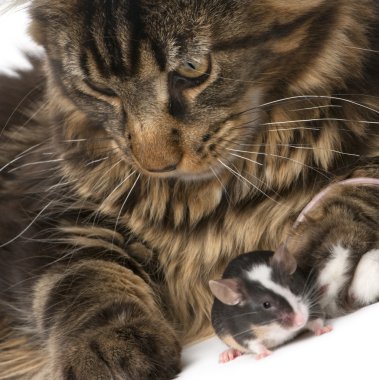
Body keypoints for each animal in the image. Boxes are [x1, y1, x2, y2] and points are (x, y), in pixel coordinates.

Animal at [0, 0, 378, 380]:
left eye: (192, 68)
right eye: (98, 88)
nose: (155, 165)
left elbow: (358, 191)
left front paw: (327, 252)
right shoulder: (52, 211)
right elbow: (81, 279)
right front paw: (106, 347)